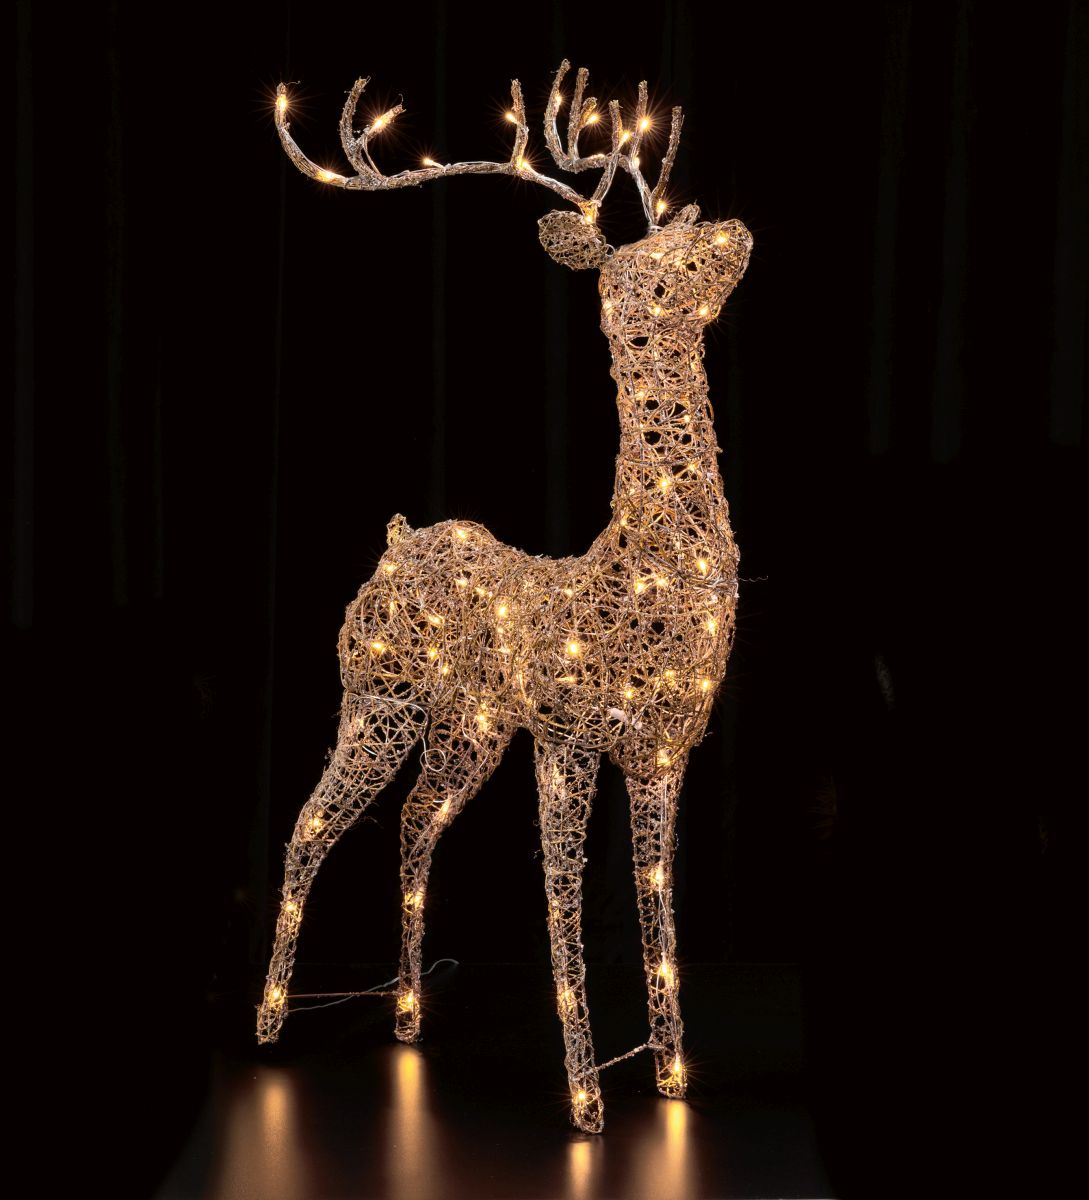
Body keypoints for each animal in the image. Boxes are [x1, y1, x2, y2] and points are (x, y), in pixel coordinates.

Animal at [256, 60, 753, 1134]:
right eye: (647, 259)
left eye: (681, 220)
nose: (735, 228)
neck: (637, 564)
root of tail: (396, 542)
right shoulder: (567, 737)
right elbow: (563, 899)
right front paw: (586, 1100)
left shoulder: (662, 750)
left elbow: (658, 904)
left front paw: (669, 1077)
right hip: (380, 700)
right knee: (312, 823)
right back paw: (270, 1022)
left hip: (466, 727)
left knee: (411, 822)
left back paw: (406, 1011)